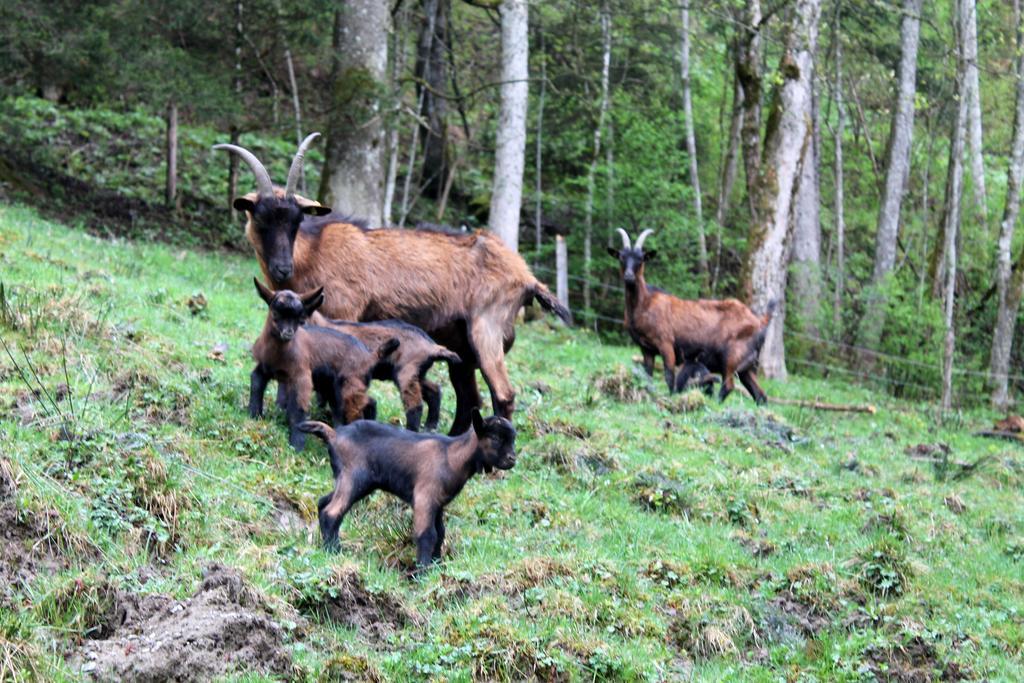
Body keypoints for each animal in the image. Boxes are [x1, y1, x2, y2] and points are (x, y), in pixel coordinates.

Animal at [216, 133, 573, 432]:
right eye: (260, 218)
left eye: (296, 220)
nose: (281, 267)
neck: (312, 252)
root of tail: (526, 276)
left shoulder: (342, 312)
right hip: (461, 349)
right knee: (469, 398)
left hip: (487, 332)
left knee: (503, 394)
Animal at [602, 229, 770, 403]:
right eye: (621, 257)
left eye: (641, 259)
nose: (629, 276)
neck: (645, 304)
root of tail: (760, 322)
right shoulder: (646, 348)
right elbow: (647, 375)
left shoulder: (666, 343)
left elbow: (669, 375)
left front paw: (670, 397)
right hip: (748, 366)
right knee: (760, 395)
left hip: (732, 357)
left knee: (729, 385)